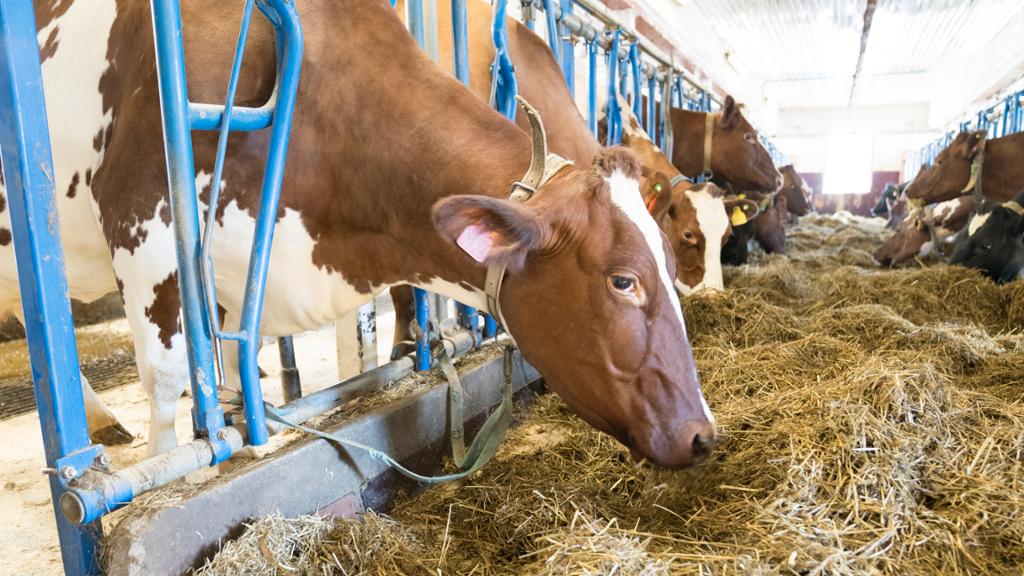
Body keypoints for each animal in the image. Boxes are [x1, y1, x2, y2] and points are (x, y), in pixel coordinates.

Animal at [6, 0, 712, 467]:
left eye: (668, 255)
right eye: (623, 280)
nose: (704, 434)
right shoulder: (142, 223)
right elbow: (165, 381)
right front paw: (176, 459)